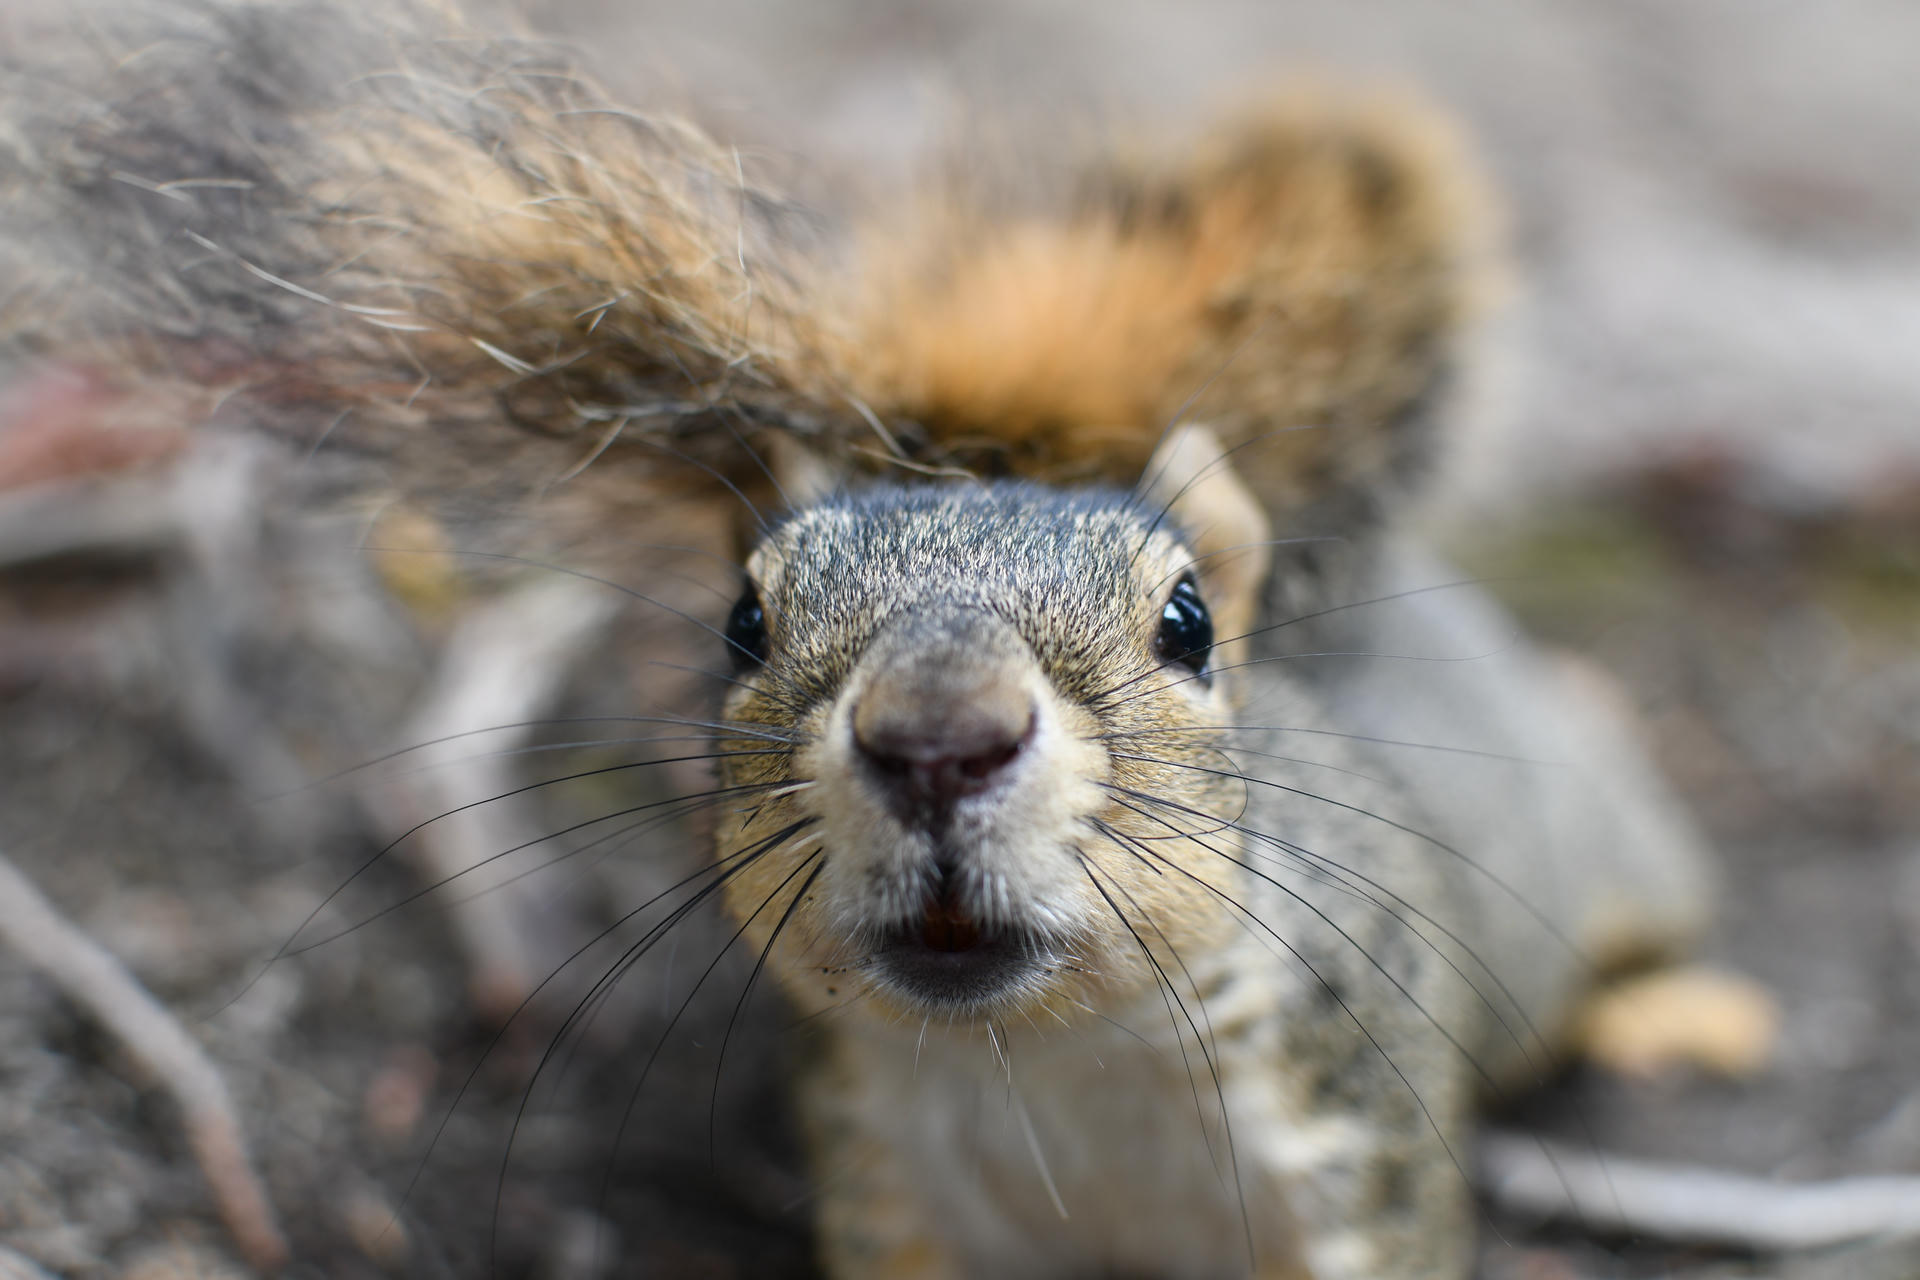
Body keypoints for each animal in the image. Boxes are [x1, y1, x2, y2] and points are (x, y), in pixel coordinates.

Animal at [1, 2, 1718, 1276]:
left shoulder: (1366, 1157)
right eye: (743, 621)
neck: (1052, 1062)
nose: (938, 743)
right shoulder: (889, 1190)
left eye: (1187, 623)